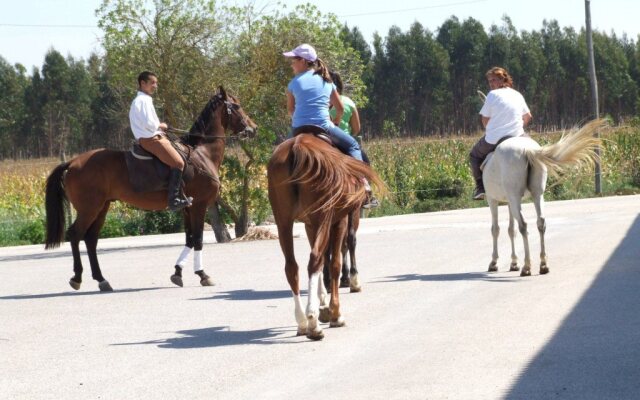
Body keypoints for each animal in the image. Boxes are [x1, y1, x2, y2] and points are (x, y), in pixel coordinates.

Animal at [44, 87, 258, 292]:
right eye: (237, 106)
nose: (254, 128)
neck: (202, 153)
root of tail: (72, 162)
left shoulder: (187, 208)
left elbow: (189, 240)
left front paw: (177, 273)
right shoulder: (199, 205)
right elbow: (197, 239)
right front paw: (203, 275)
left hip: (101, 208)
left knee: (90, 239)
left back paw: (102, 280)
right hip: (89, 209)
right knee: (75, 235)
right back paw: (77, 278)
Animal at [268, 134, 382, 340]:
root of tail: (297, 146)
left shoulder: (309, 225)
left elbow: (325, 261)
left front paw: (323, 303)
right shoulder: (343, 219)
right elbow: (339, 255)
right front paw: (335, 310)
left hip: (284, 222)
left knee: (293, 267)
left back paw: (302, 321)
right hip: (324, 217)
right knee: (315, 259)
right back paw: (313, 323)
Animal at [482, 119, 604, 276]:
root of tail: (528, 150)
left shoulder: (492, 199)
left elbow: (496, 229)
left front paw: (494, 262)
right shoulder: (509, 201)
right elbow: (511, 230)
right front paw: (514, 262)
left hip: (515, 197)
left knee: (523, 225)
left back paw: (527, 266)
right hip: (536, 195)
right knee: (540, 222)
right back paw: (543, 264)